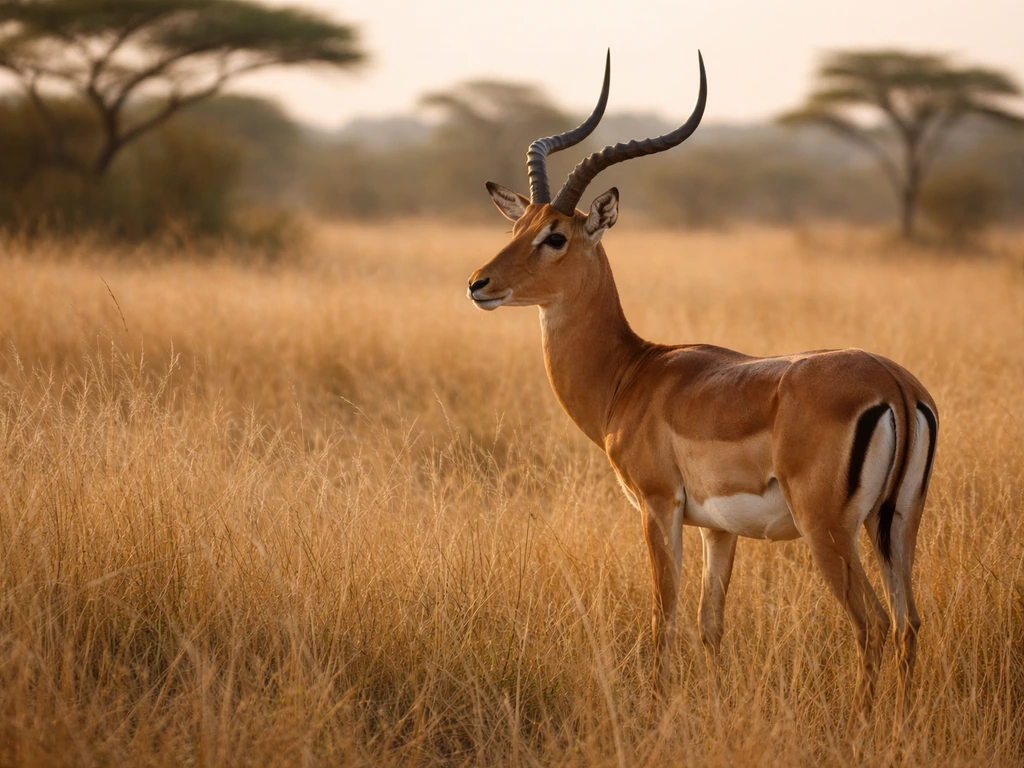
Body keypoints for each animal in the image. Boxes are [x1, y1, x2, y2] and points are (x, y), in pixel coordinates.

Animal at [466, 51, 939, 731]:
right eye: (519, 224)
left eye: (555, 236)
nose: (479, 283)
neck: (632, 373)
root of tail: (894, 385)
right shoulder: (719, 529)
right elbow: (709, 623)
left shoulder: (658, 507)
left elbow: (663, 616)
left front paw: (656, 710)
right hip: (897, 525)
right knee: (909, 624)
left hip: (829, 531)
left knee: (871, 624)